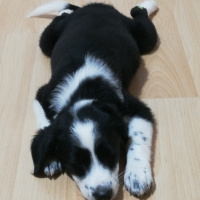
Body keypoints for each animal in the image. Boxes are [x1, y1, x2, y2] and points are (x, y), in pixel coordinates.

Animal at [29, 0, 158, 199]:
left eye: (112, 155)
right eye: (77, 164)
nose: (103, 194)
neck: (84, 92)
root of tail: (95, 5)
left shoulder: (137, 108)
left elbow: (138, 137)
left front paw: (137, 175)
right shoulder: (43, 95)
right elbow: (45, 124)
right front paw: (50, 158)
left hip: (144, 37)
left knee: (139, 15)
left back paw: (148, 4)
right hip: (46, 41)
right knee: (60, 17)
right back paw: (65, 11)